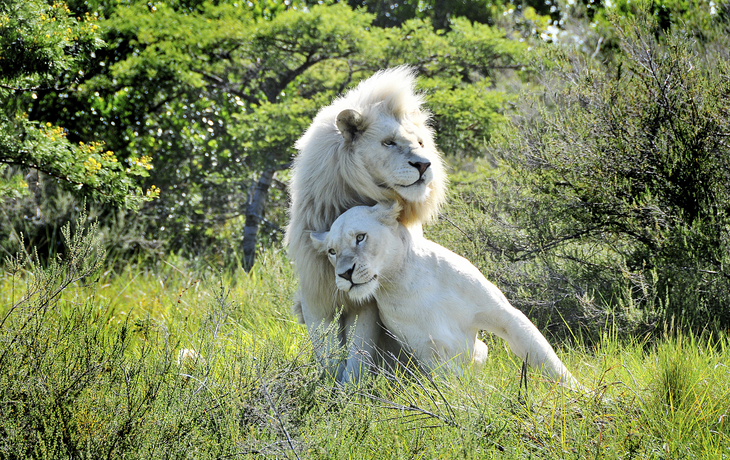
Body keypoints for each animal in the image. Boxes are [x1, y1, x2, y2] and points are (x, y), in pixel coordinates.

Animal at [283, 66, 447, 383]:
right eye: (389, 142)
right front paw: (327, 387)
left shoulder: (368, 297)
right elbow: (326, 350)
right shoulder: (315, 290)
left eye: (421, 143)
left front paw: (350, 389)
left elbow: (359, 350)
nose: (424, 165)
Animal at [310, 202, 583, 390]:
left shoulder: (505, 316)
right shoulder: (427, 353)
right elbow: (460, 382)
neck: (407, 280)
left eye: (360, 237)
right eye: (332, 251)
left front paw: (583, 395)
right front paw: (491, 396)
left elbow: (545, 358)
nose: (345, 274)